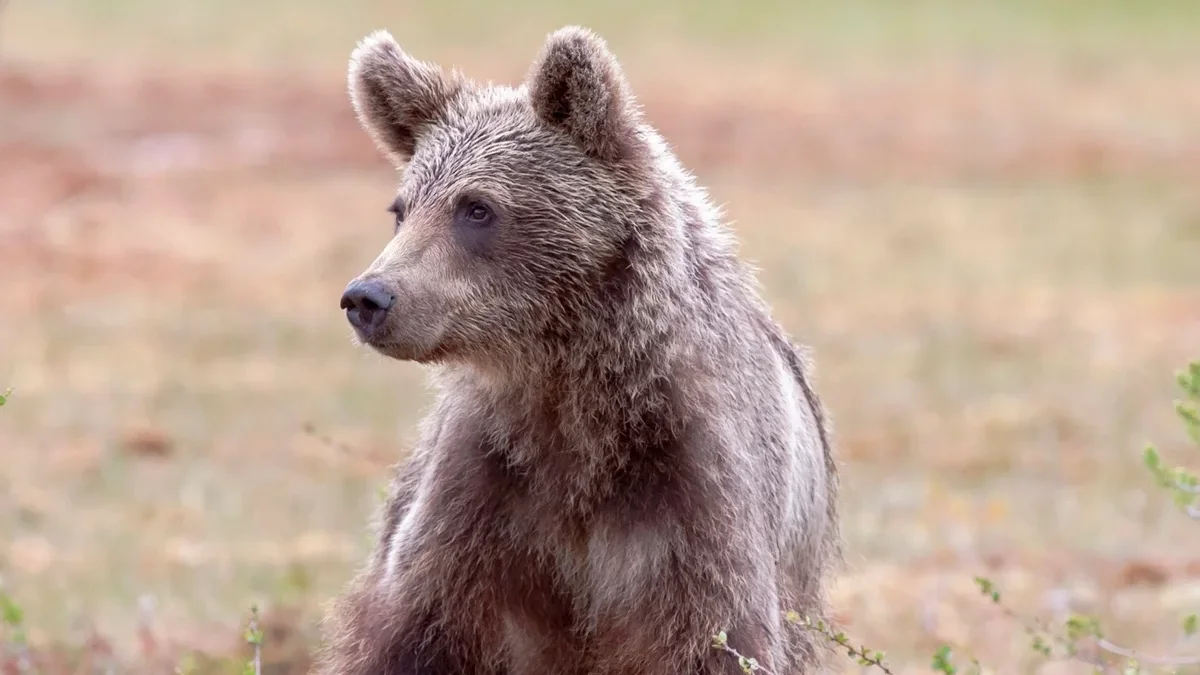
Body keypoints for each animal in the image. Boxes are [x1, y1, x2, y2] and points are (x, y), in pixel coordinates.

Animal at [319, 23, 844, 672]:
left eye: (476, 207)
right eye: (401, 209)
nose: (368, 297)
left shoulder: (695, 497)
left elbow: (717, 639)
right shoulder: (481, 497)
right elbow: (415, 634)